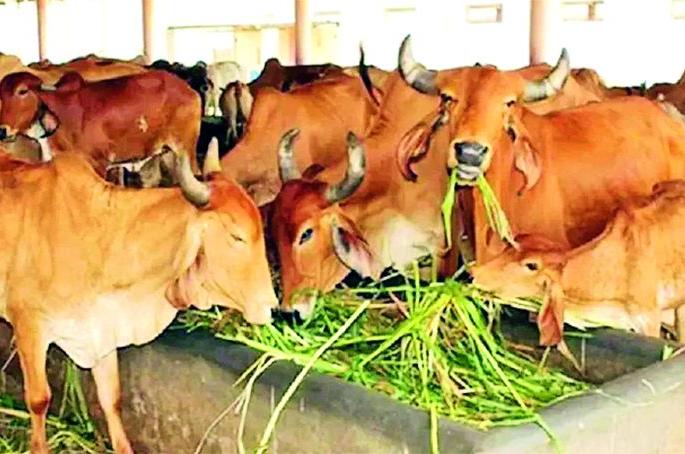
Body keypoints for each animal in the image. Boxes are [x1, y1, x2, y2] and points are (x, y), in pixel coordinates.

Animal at [0, 143, 277, 453]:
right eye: (236, 236)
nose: (270, 305)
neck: (98, 239)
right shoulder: (29, 326)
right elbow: (39, 400)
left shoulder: (102, 330)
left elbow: (112, 399)